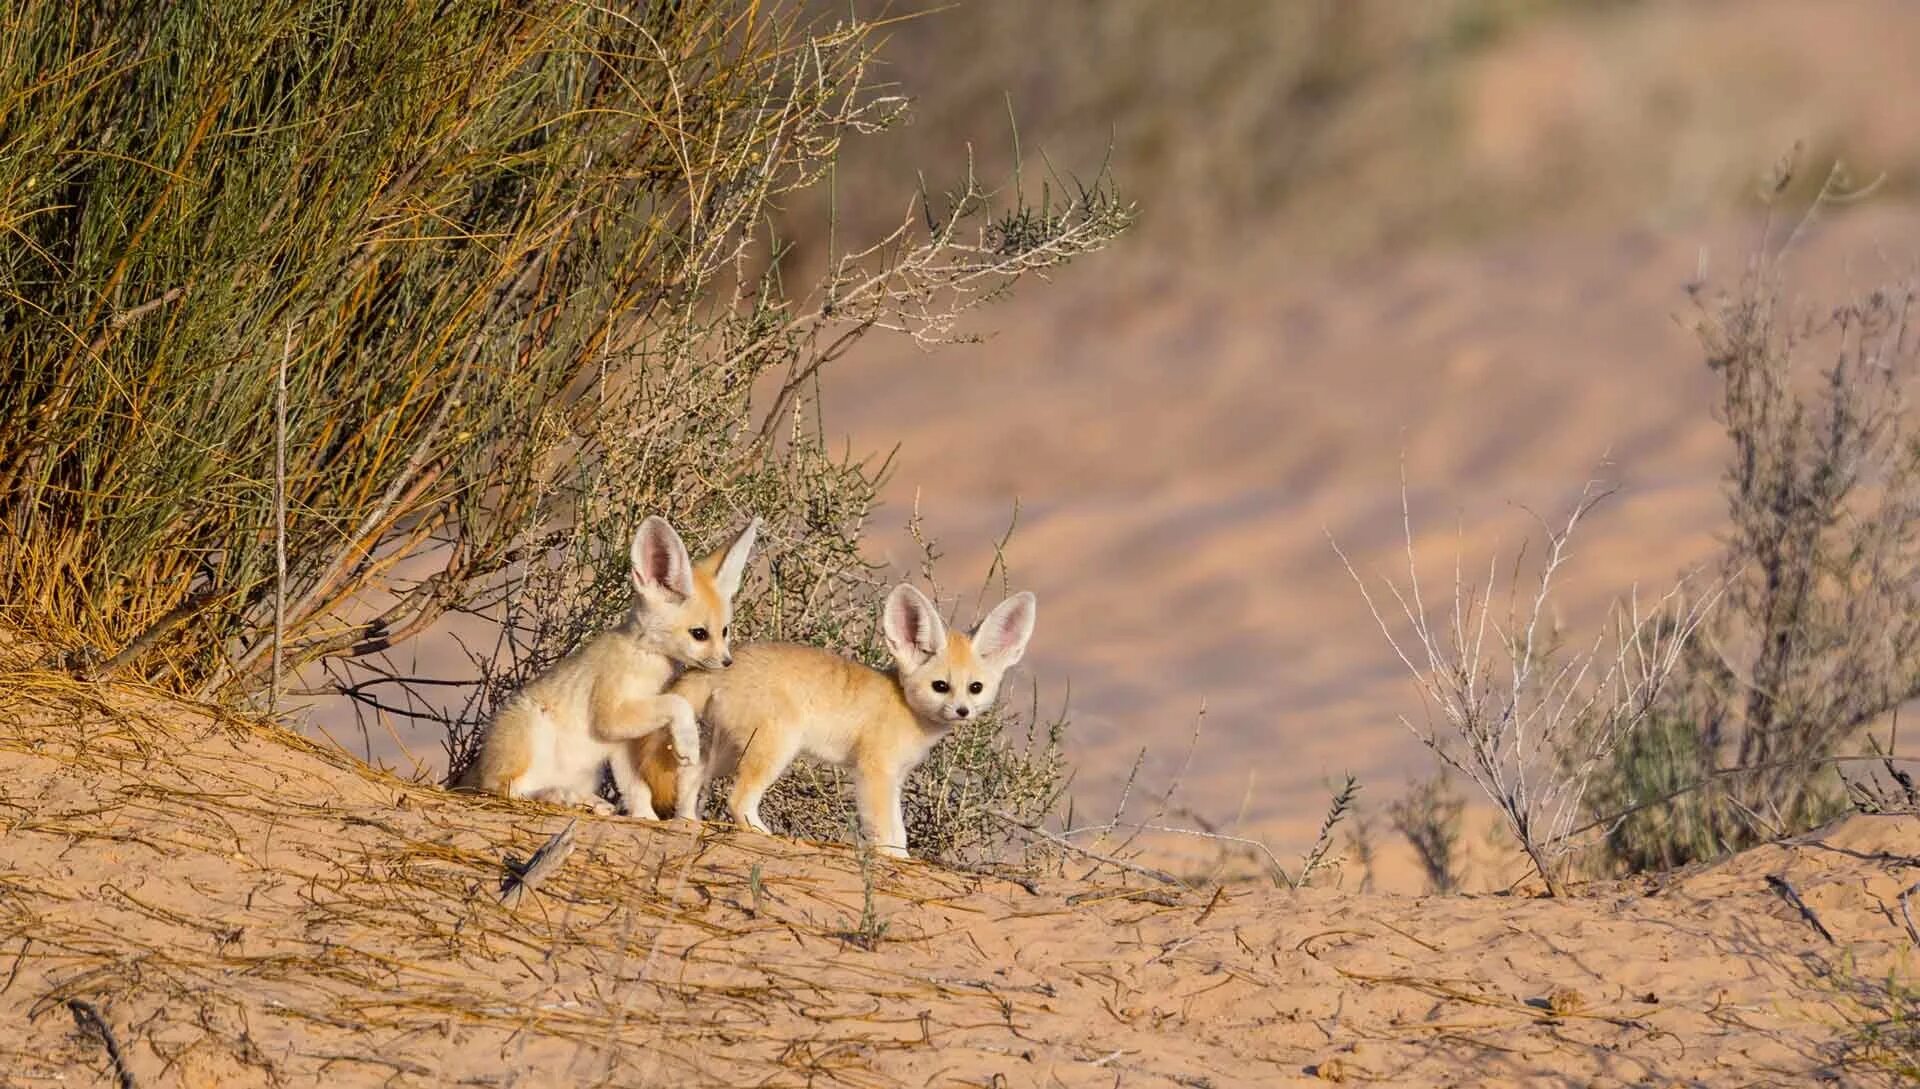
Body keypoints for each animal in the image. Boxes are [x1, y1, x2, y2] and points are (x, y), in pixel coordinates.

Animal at [456, 518, 756, 818]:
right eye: (699, 634)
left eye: (725, 631)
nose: (727, 662)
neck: (643, 654)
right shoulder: (610, 716)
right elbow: (677, 703)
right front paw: (688, 742)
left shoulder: (623, 743)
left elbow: (637, 788)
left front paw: (646, 817)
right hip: (530, 733)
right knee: (505, 788)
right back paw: (558, 795)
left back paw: (587, 801)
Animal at [641, 583, 1036, 856]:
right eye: (941, 686)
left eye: (975, 688)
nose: (962, 711)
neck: (904, 706)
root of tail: (724, 665)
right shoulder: (874, 773)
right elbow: (886, 831)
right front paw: (896, 860)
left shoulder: (895, 777)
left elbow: (899, 830)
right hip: (775, 750)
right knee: (737, 800)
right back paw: (765, 835)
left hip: (730, 750)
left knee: (692, 775)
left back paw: (687, 821)